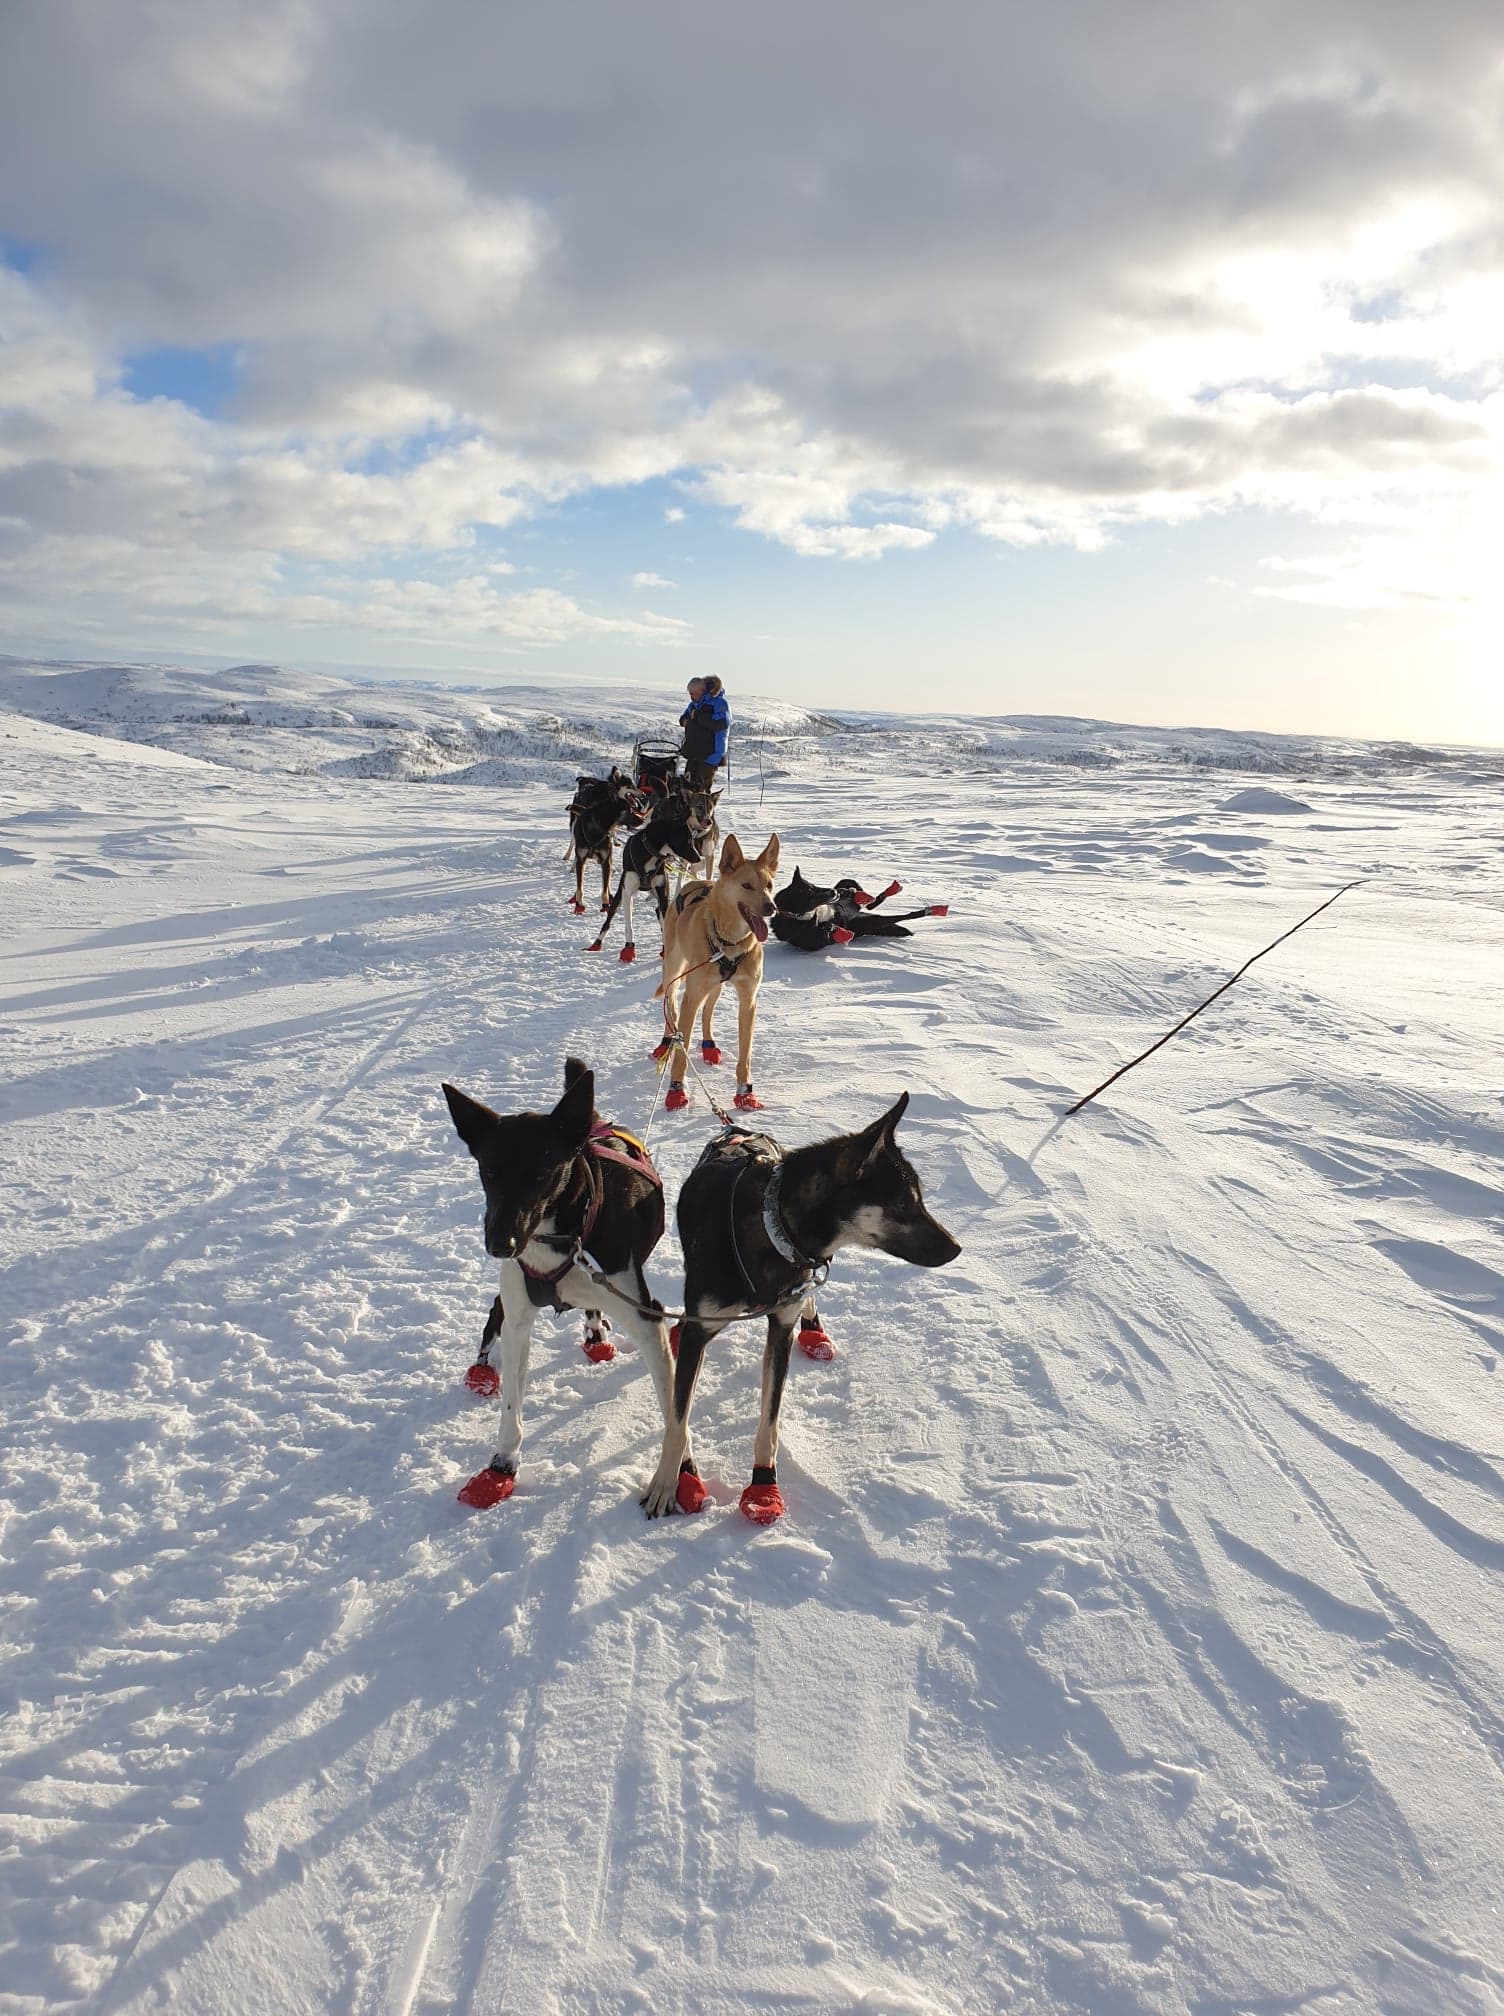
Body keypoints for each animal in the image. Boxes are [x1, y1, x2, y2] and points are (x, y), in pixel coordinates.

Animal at [441, 1064, 669, 1507]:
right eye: (488, 1172)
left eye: (541, 1175)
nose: (500, 1244)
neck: (561, 1236)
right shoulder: (518, 1322)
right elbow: (511, 1405)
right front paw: (502, 1465)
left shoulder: (646, 1318)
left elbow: (674, 1410)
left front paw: (680, 1473)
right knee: (494, 1317)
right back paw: (484, 1367)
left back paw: (595, 1331)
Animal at [588, 782, 717, 963]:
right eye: (686, 840)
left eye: (692, 840)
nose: (698, 858)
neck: (649, 852)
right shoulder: (627, 894)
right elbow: (628, 925)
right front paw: (629, 948)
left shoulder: (663, 893)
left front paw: (665, 950)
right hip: (619, 896)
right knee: (608, 920)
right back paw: (597, 943)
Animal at [637, 1096, 955, 1516]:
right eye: (904, 1203)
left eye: (920, 1198)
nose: (956, 1248)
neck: (773, 1228)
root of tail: (740, 1132)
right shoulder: (700, 1333)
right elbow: (678, 1419)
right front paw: (667, 1482)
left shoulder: (781, 1328)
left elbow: (769, 1421)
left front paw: (763, 1486)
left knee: (809, 1295)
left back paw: (814, 1329)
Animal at [653, 834, 778, 1120]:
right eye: (747, 885)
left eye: (769, 885)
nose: (771, 907)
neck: (729, 944)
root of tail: (697, 881)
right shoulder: (690, 997)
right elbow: (682, 1051)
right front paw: (676, 1091)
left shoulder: (748, 1001)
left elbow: (745, 1054)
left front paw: (745, 1093)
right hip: (674, 971)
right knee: (670, 1006)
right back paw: (666, 1042)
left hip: (715, 987)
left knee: (707, 1011)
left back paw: (708, 1045)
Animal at [766, 866, 943, 951]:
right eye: (810, 894)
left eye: (814, 886)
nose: (834, 892)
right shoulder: (815, 942)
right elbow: (826, 929)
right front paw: (839, 932)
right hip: (871, 922)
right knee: (899, 916)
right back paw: (933, 910)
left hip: (849, 890)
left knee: (866, 898)